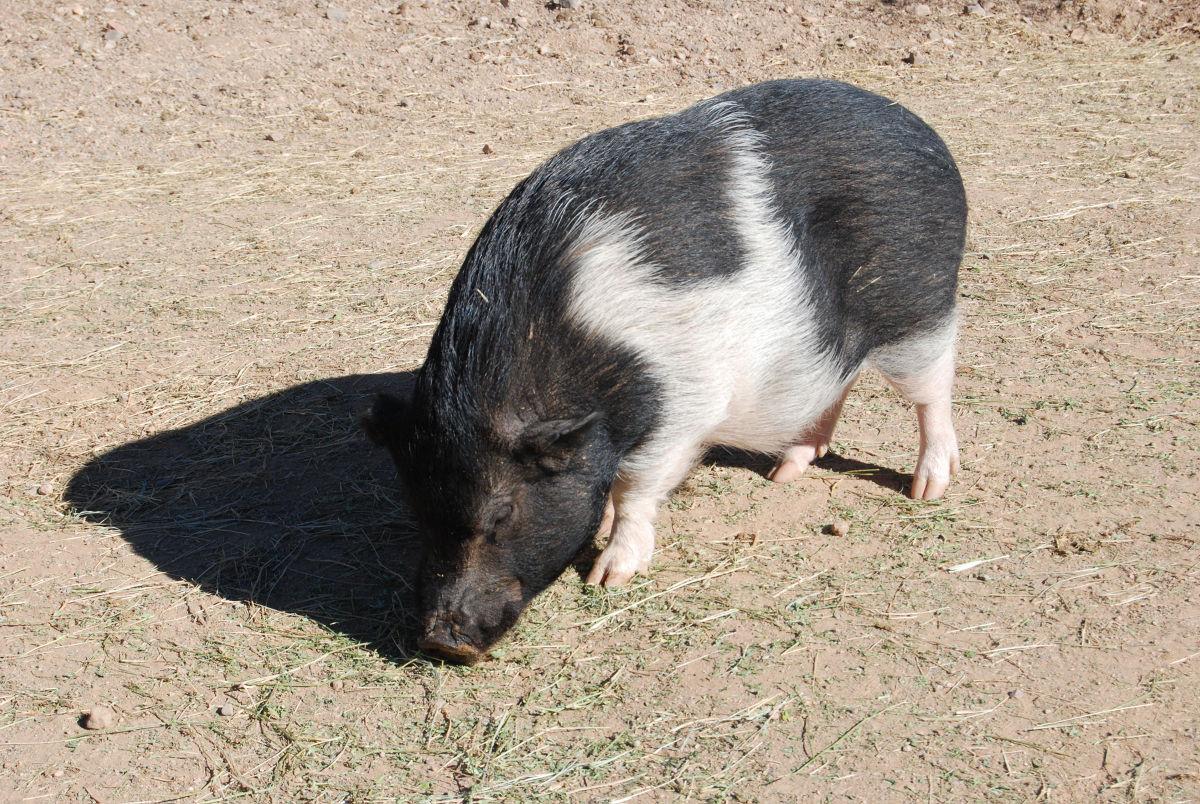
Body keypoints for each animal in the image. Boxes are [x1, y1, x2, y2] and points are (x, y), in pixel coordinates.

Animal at [363, 79, 966, 664]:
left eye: (502, 513)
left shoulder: (684, 404)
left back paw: (927, 489)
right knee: (838, 377)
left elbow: (635, 487)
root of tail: (926, 135)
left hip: (920, 307)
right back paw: (785, 472)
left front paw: (608, 579)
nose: (441, 641)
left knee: (933, 391)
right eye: (418, 507)